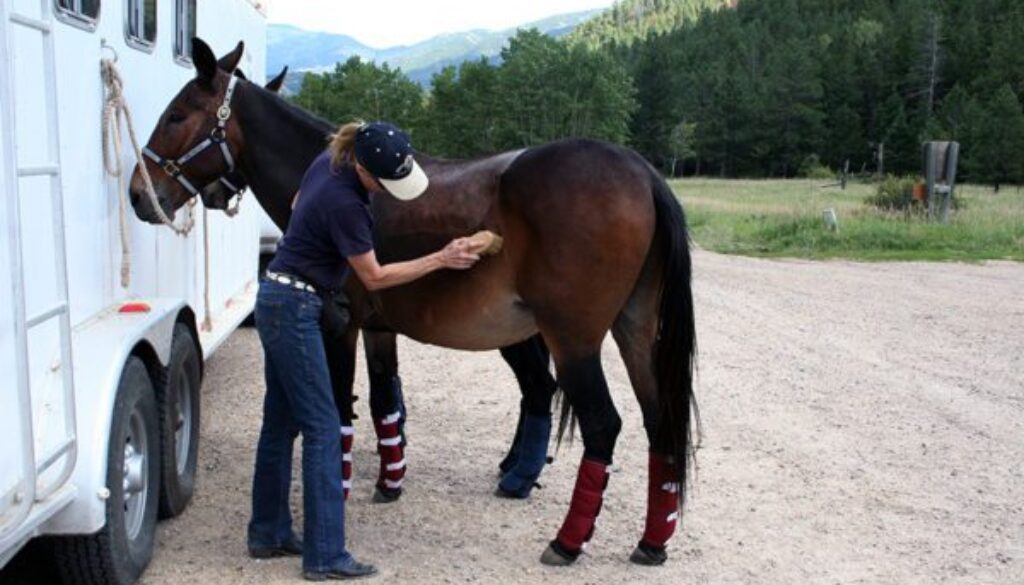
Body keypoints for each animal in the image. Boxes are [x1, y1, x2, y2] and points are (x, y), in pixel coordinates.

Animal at [130, 37, 696, 569]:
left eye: (177, 115)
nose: (139, 193)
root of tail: (641, 170)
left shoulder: (341, 327)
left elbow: (341, 410)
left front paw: (339, 494)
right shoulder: (379, 328)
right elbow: (386, 403)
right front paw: (390, 482)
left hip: (571, 341)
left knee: (600, 423)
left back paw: (567, 540)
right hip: (632, 333)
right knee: (657, 421)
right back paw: (652, 540)